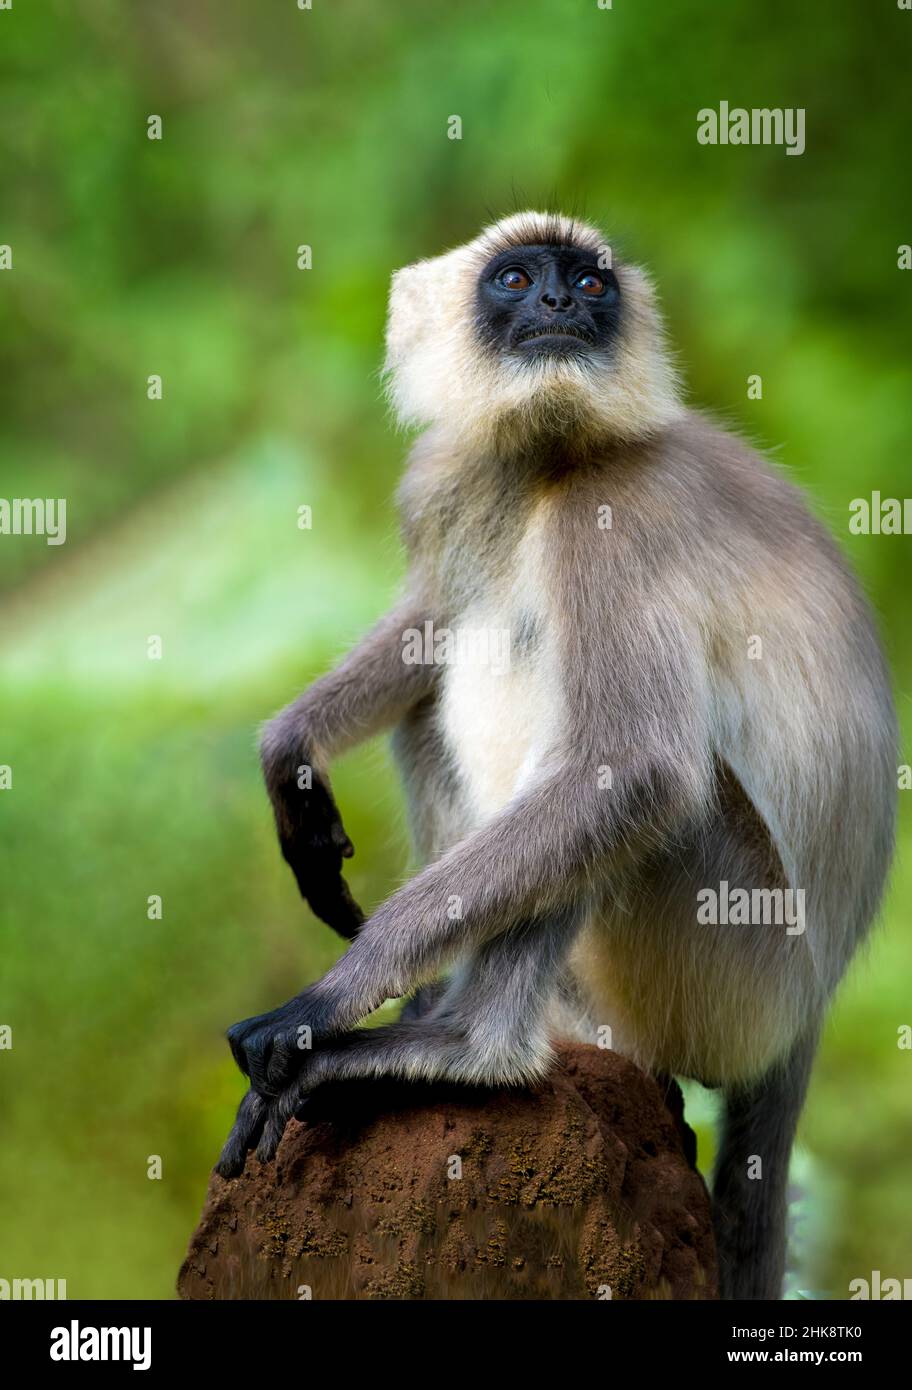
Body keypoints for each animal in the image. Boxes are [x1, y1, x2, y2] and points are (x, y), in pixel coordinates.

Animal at [219, 208, 895, 1301]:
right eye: (515, 279)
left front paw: (331, 997)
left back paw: (474, 1047)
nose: (556, 305)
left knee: (644, 795)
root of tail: (812, 1011)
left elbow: (636, 770)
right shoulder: (450, 479)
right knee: (439, 693)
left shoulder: (620, 514)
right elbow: (427, 622)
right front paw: (292, 752)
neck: (547, 460)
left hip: (735, 975)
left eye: (589, 284)